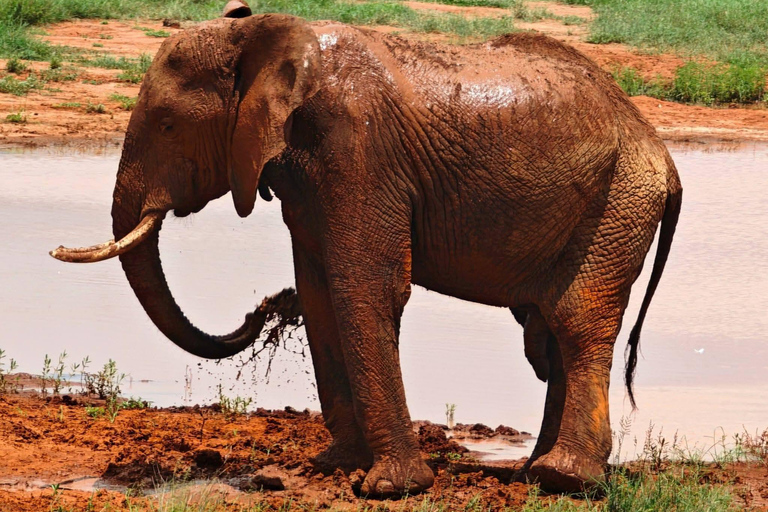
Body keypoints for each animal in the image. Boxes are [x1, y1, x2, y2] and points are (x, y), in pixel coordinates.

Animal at [51, 0, 682, 497]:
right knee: (547, 334)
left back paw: (563, 479)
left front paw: (389, 488)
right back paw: (532, 471)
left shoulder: (360, 151)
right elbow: (320, 295)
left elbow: (364, 289)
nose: (259, 311)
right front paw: (334, 465)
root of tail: (661, 153)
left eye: (165, 125)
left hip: (619, 200)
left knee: (575, 322)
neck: (270, 38)